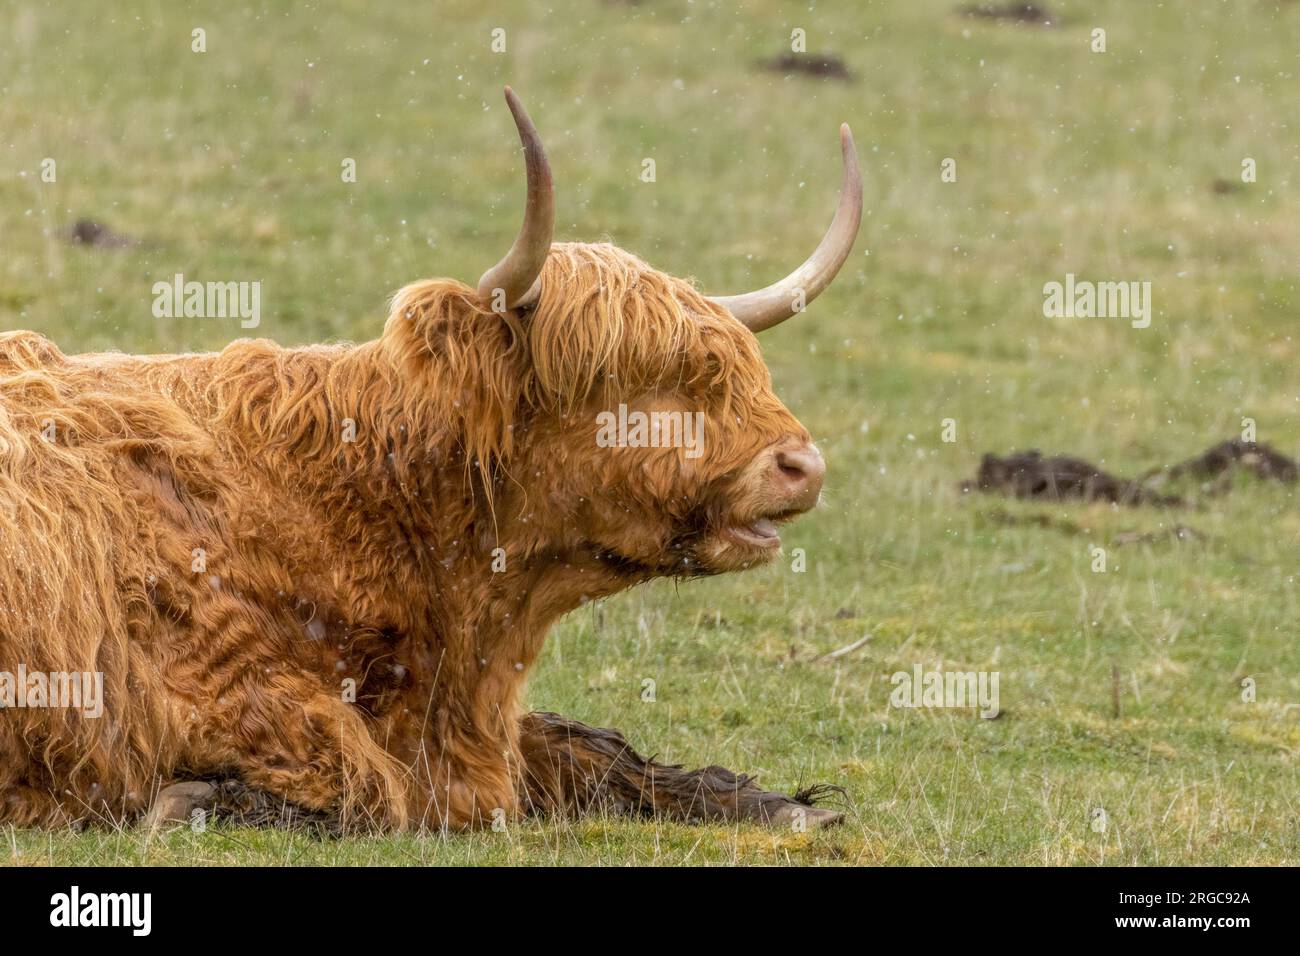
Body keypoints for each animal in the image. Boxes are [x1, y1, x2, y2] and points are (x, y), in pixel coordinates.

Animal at [0, 88, 861, 832]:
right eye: (628, 380)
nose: (804, 465)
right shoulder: (215, 695)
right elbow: (369, 784)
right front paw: (193, 801)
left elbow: (587, 746)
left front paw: (790, 805)